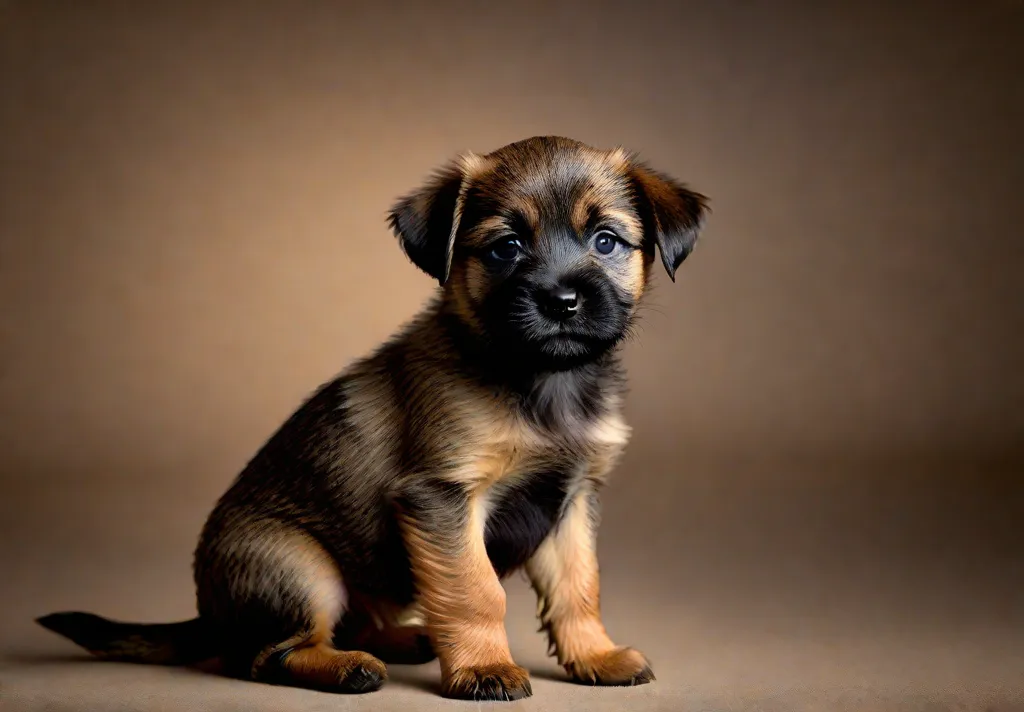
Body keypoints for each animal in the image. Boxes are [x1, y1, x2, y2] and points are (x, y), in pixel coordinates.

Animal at [36, 138, 708, 700]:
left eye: (606, 242)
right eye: (506, 248)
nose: (561, 300)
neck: (544, 381)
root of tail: (208, 616)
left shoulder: (570, 502)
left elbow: (578, 588)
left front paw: (595, 656)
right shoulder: (443, 498)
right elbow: (475, 591)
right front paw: (485, 668)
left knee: (344, 625)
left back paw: (401, 639)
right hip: (300, 569)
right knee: (266, 656)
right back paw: (347, 668)